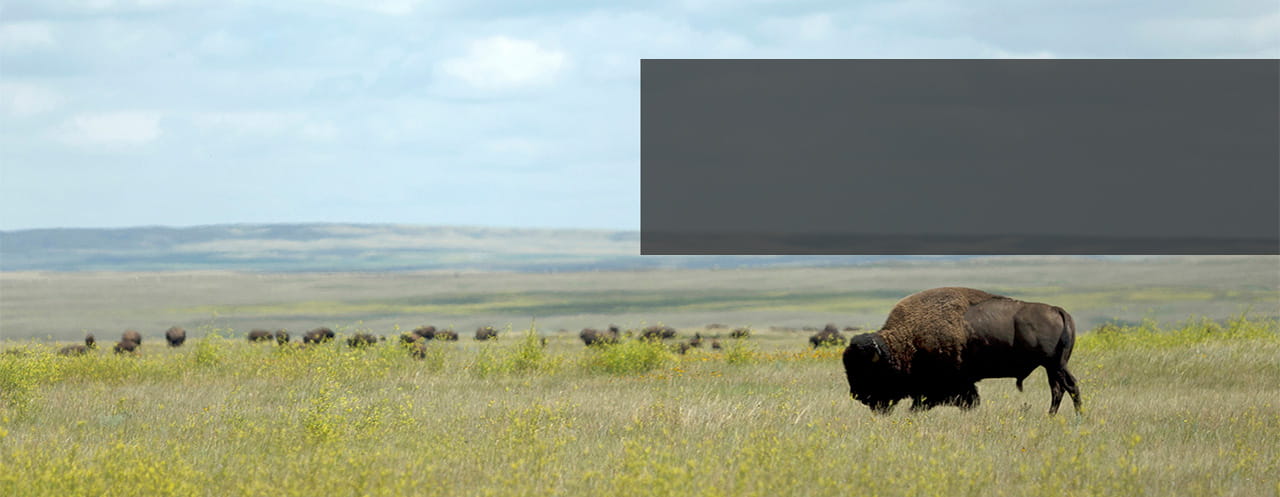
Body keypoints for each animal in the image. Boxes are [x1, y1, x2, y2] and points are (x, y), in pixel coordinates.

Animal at [842, 287, 1082, 415]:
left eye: (868, 370)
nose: (857, 395)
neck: (906, 340)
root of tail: (1057, 310)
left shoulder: (951, 384)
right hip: (1053, 366)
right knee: (1058, 389)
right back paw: (1052, 416)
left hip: (1054, 364)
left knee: (1068, 386)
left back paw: (1077, 416)